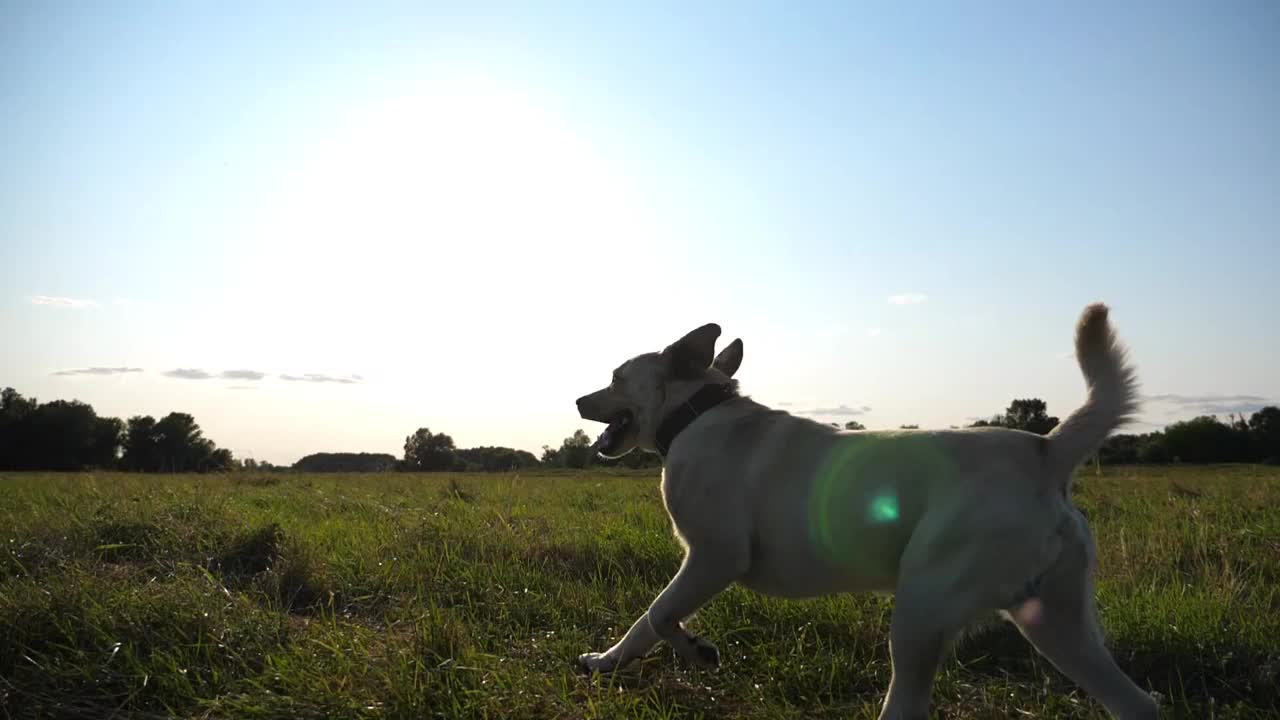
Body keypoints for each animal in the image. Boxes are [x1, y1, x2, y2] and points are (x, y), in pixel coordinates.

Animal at [576, 302, 1157, 717]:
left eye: (616, 376)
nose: (579, 400)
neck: (695, 412)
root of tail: (1045, 450)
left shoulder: (715, 557)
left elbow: (657, 615)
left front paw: (694, 651)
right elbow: (648, 623)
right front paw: (608, 663)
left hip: (922, 612)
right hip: (1057, 625)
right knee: (1138, 705)